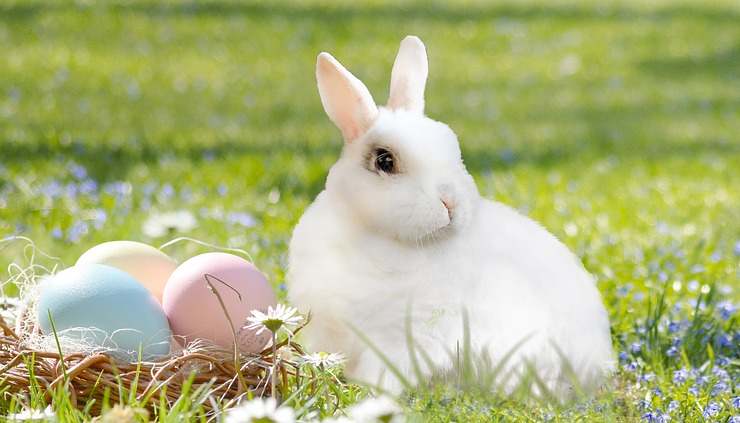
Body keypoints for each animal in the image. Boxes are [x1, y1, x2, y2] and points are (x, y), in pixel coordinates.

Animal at [286, 35, 616, 398]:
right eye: (385, 161)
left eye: (453, 151)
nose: (450, 203)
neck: (372, 234)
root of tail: (595, 367)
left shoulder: (403, 340)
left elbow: (383, 374)